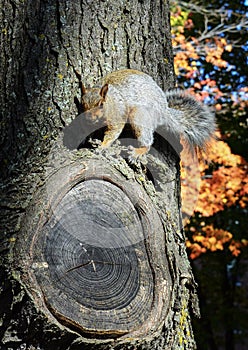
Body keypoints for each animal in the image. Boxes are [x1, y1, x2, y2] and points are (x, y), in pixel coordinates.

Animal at [79, 68, 215, 159]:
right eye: (82, 104)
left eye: (101, 104)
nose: (89, 118)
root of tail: (164, 111)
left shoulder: (118, 114)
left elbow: (113, 132)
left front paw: (102, 146)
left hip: (139, 115)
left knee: (147, 140)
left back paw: (138, 151)